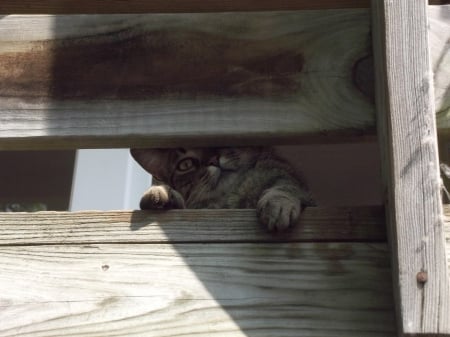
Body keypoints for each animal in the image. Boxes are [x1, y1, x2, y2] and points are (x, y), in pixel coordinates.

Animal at [130, 146, 312, 230]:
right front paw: (159, 194)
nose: (214, 160)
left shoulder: (283, 175)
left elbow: (285, 186)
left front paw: (277, 205)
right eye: (186, 164)